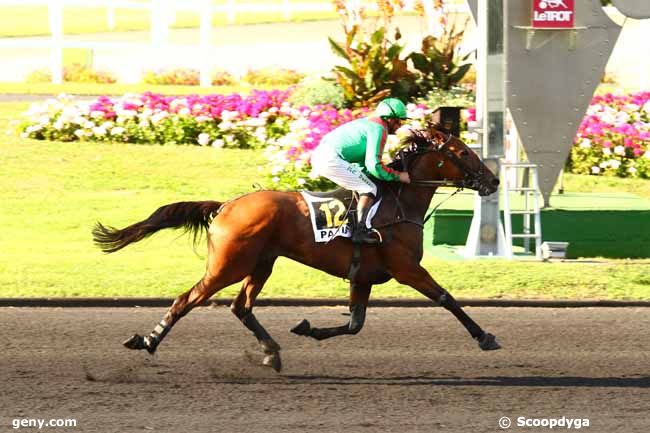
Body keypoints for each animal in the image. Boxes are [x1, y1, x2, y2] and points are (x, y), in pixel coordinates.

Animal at [93, 123, 502, 370]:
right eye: (464, 153)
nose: (494, 181)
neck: (399, 204)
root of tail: (226, 206)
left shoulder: (363, 277)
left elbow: (354, 324)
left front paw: (308, 329)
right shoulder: (406, 269)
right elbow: (446, 298)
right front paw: (485, 336)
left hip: (261, 263)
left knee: (241, 307)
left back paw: (271, 353)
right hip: (229, 266)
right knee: (187, 299)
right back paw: (148, 340)